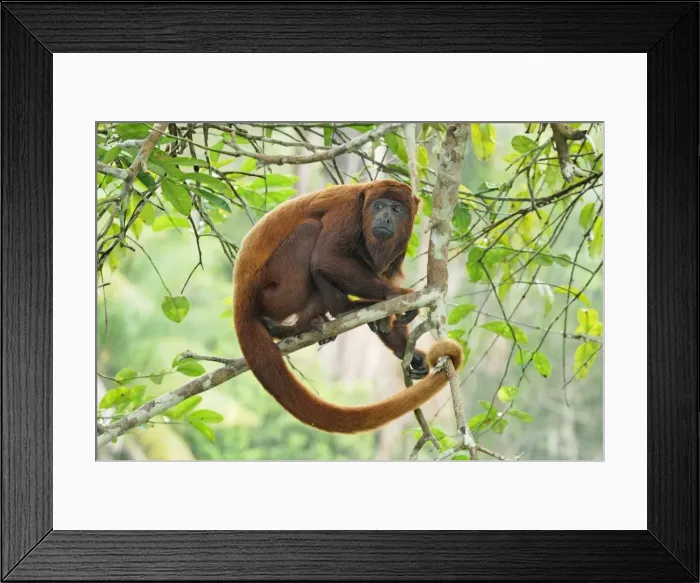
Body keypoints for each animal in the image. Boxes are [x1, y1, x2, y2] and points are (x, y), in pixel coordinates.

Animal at [233, 179, 463, 433]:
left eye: (396, 210)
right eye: (378, 206)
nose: (384, 218)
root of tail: (241, 293)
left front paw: (405, 350)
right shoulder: (348, 210)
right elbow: (327, 258)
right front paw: (399, 294)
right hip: (274, 292)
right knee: (312, 232)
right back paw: (341, 310)